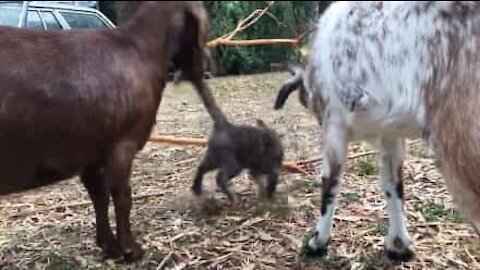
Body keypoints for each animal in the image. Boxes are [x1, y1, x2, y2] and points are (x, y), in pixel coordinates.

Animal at [0, 0, 222, 262]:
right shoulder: (122, 142)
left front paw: (109, 246)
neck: (141, 49)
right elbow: (122, 195)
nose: (209, 64)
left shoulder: (93, 153)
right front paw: (131, 249)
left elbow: (100, 196)